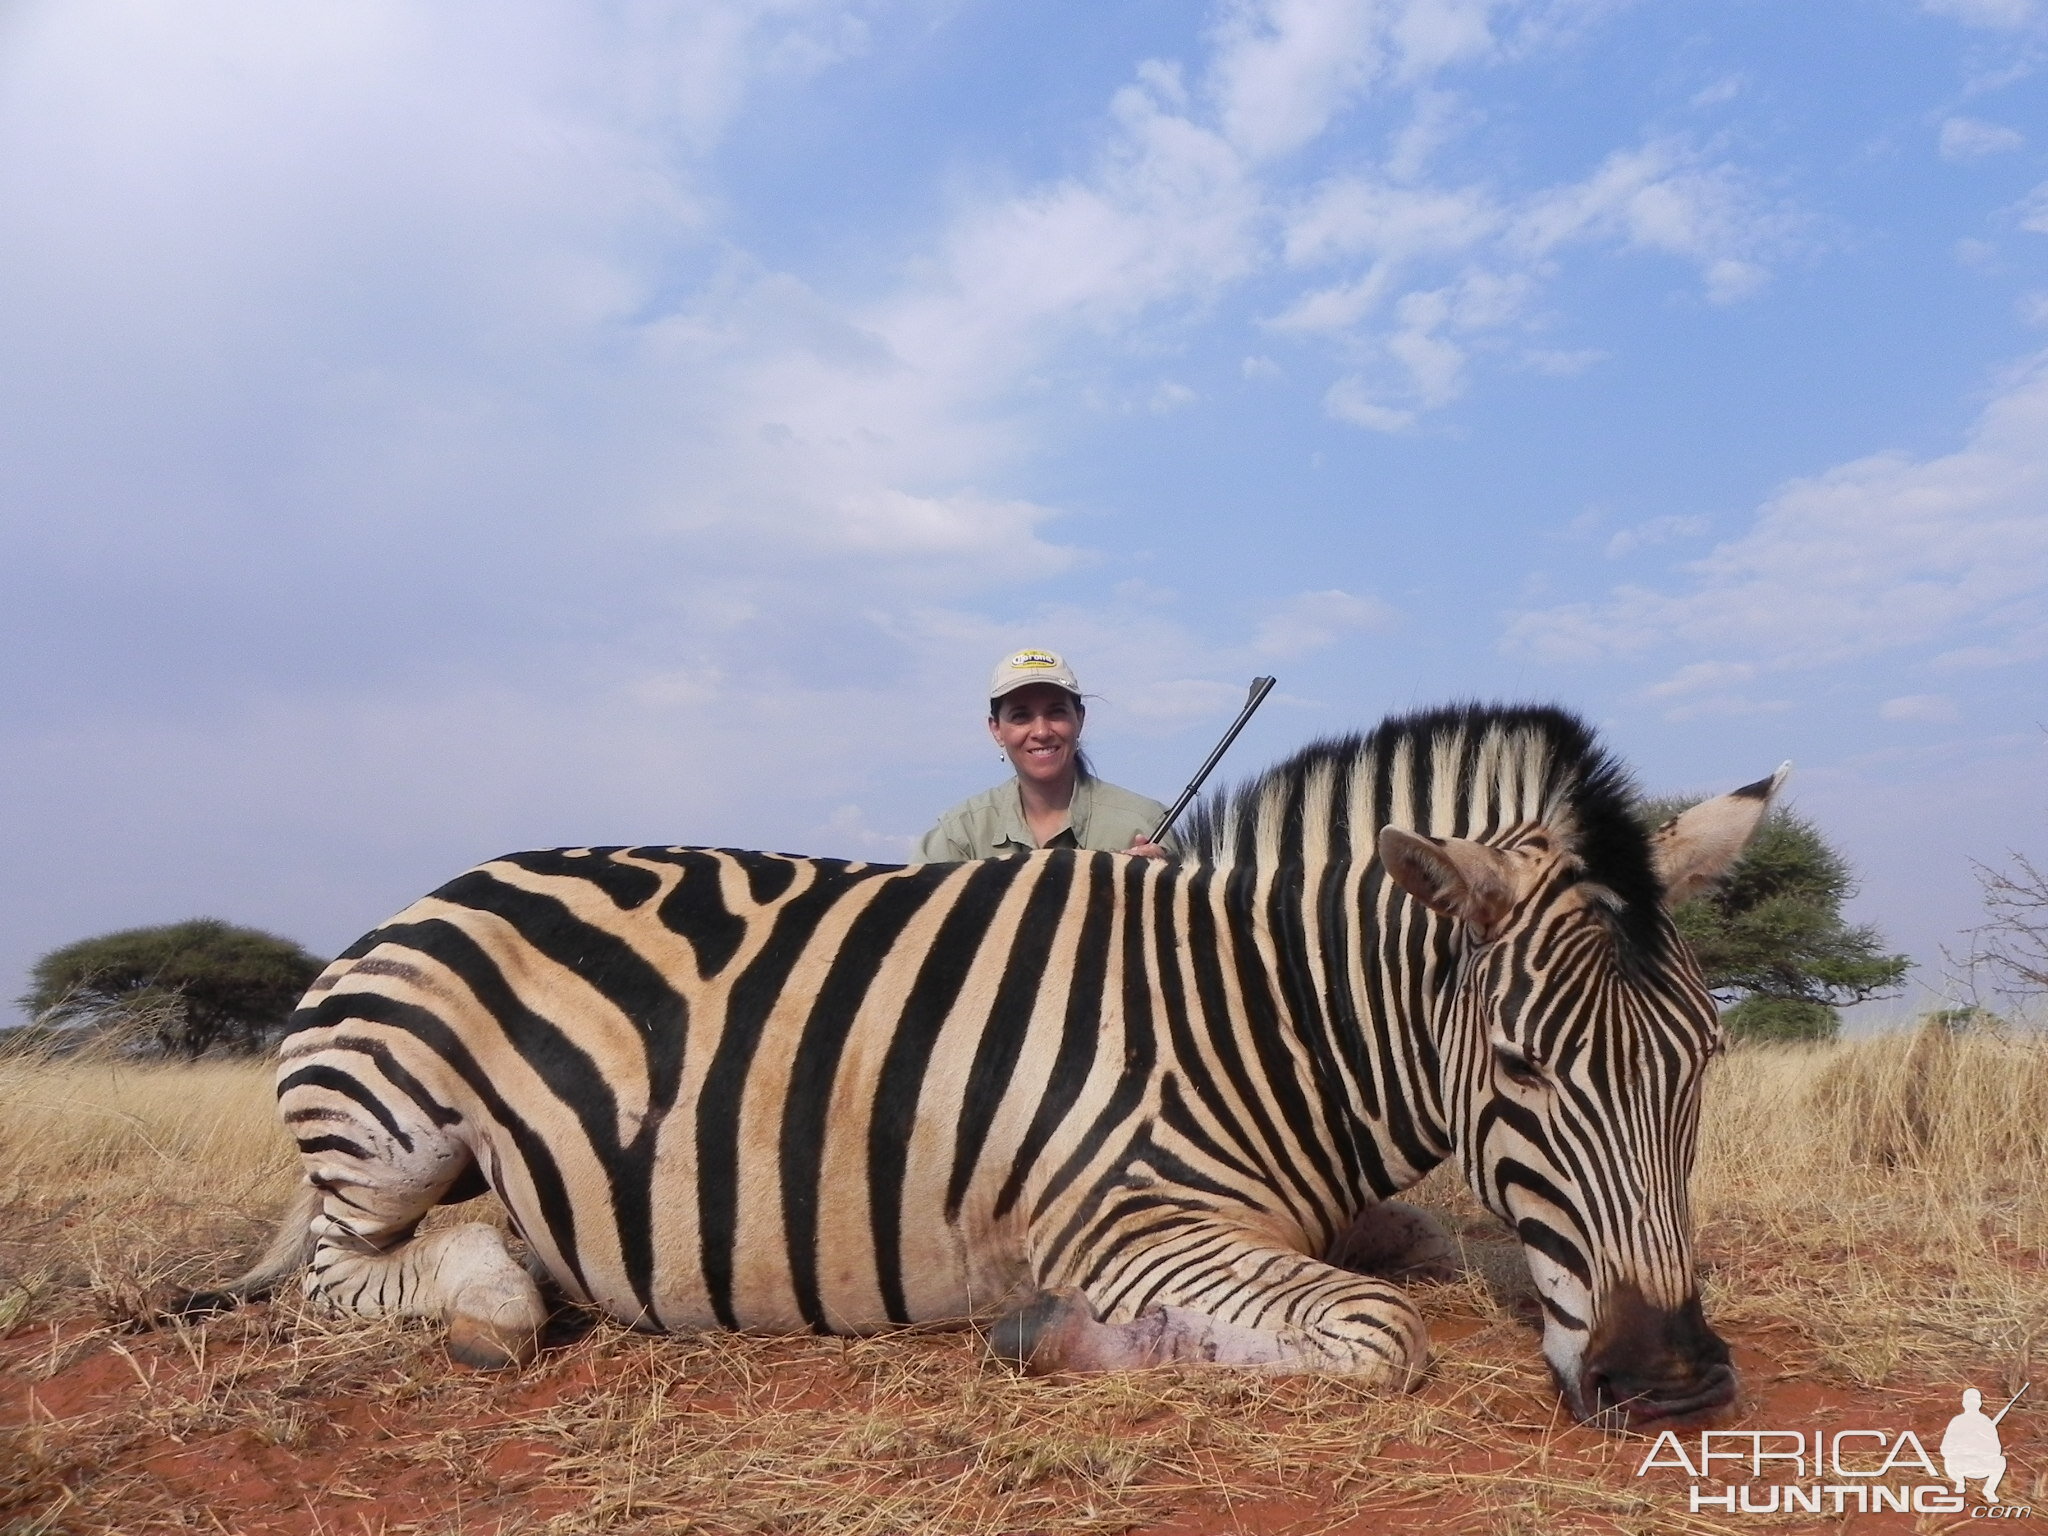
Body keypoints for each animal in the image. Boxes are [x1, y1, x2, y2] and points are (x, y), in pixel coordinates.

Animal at [188, 708, 1777, 1433]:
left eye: (1705, 1062)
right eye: (1519, 1067)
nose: (1677, 1382)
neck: (1258, 1013)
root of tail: (425, 894)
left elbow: (1447, 1244)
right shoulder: (1118, 1222)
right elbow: (1383, 1328)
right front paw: (1051, 1337)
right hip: (396, 1121)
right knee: (343, 1273)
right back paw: (491, 1295)